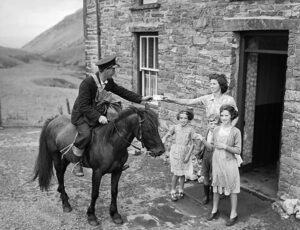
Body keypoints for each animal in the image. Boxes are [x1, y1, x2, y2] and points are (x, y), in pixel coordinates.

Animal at [32, 107, 166, 226]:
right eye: (148, 128)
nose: (161, 150)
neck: (111, 143)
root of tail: (53, 120)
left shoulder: (117, 171)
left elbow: (114, 191)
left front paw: (115, 214)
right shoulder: (97, 172)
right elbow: (95, 193)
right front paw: (91, 216)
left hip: (66, 157)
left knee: (62, 174)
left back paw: (63, 193)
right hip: (56, 156)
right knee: (59, 174)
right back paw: (66, 204)